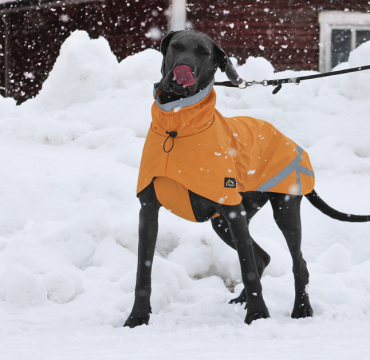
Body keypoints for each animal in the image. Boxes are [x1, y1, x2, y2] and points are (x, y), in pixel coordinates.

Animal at [125, 29, 370, 326]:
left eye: (203, 52)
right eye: (176, 46)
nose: (182, 69)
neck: (178, 123)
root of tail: (291, 142)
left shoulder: (233, 211)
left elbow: (248, 268)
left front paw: (258, 315)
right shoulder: (149, 210)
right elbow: (143, 269)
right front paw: (137, 317)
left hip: (283, 210)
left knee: (297, 262)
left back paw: (302, 309)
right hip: (226, 220)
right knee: (262, 256)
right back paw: (243, 299)